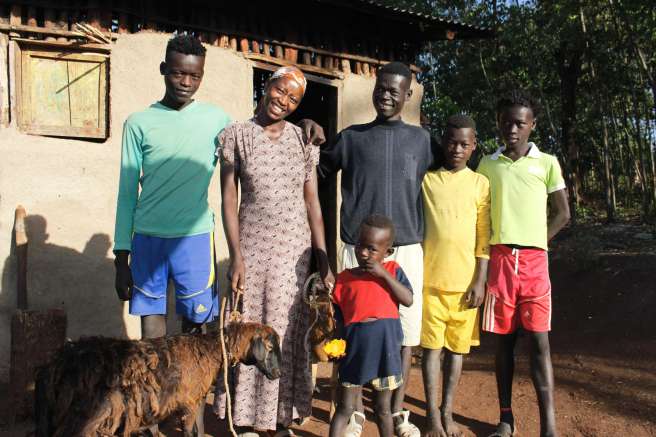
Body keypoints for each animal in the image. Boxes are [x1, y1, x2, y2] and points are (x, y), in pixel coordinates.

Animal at [34, 320, 280, 436]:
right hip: (84, 415)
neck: (210, 349)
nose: (277, 374)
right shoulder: (190, 402)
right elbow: (189, 430)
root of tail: (55, 363)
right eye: (270, 347)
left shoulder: (191, 400)